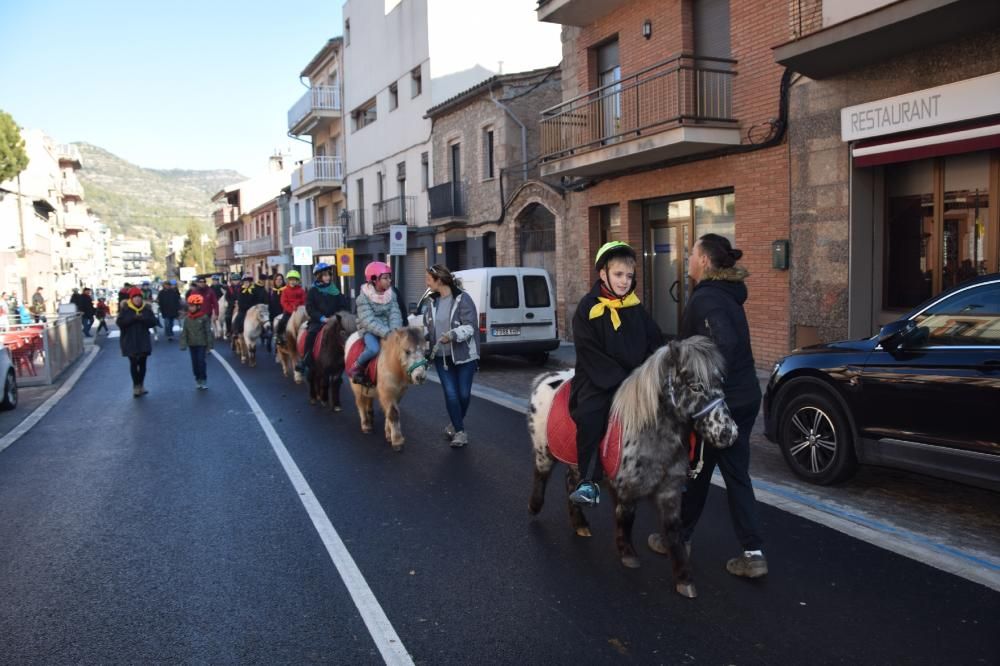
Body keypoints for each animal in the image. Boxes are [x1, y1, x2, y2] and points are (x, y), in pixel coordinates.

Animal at [528, 334, 740, 600]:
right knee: (541, 475)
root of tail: (546, 378)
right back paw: (535, 508)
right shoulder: (627, 487)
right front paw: (628, 555)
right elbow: (626, 518)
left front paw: (684, 580)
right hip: (543, 451)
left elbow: (675, 533)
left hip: (576, 458)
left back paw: (580, 524)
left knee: (571, 483)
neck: (652, 433)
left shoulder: (669, 493)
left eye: (720, 382)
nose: (729, 433)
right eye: (696, 387)